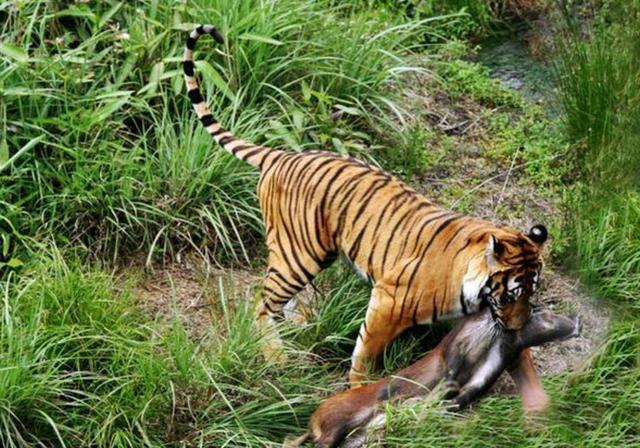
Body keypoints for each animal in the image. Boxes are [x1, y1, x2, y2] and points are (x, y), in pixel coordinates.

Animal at [181, 24, 552, 400]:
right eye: (510, 295)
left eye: (531, 292)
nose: (518, 327)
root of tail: (283, 155)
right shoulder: (387, 300)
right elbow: (366, 349)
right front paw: (360, 386)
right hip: (298, 254)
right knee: (261, 303)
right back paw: (276, 354)